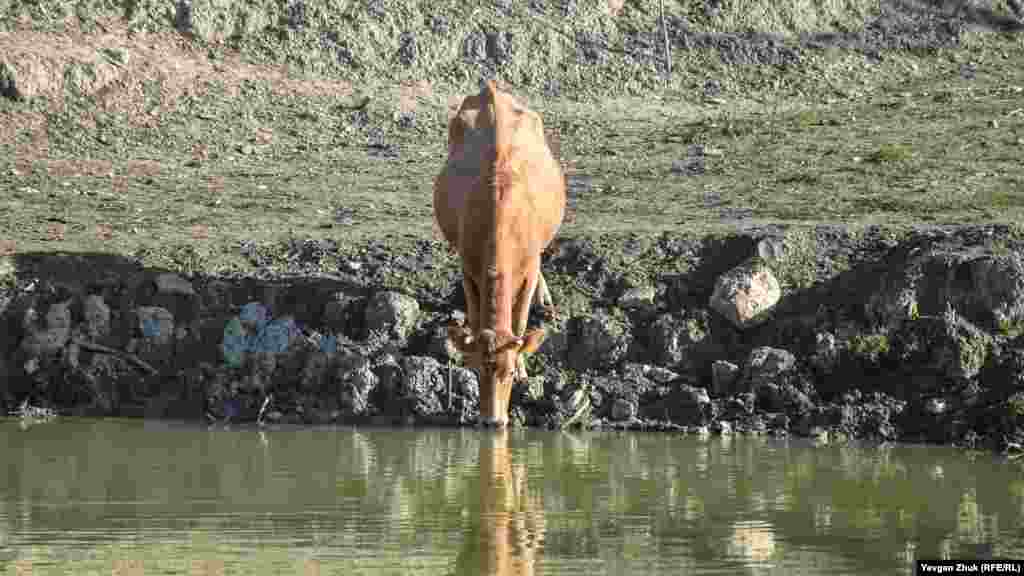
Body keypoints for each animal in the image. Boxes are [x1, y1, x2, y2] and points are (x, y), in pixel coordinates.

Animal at [434, 78, 569, 424]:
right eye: (478, 372)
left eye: (507, 374)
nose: (493, 422)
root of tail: (491, 90)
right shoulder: (468, 265)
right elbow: (474, 312)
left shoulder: (530, 265)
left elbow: (520, 322)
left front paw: (523, 367)